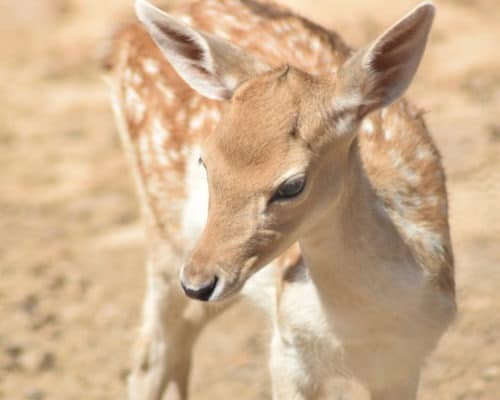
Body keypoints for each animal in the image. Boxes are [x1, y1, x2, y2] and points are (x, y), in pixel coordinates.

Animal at [104, 0, 458, 398]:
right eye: (205, 162)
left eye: (292, 185)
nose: (198, 282)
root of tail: (123, 39)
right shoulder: (288, 348)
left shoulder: (407, 360)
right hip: (165, 234)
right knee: (149, 356)